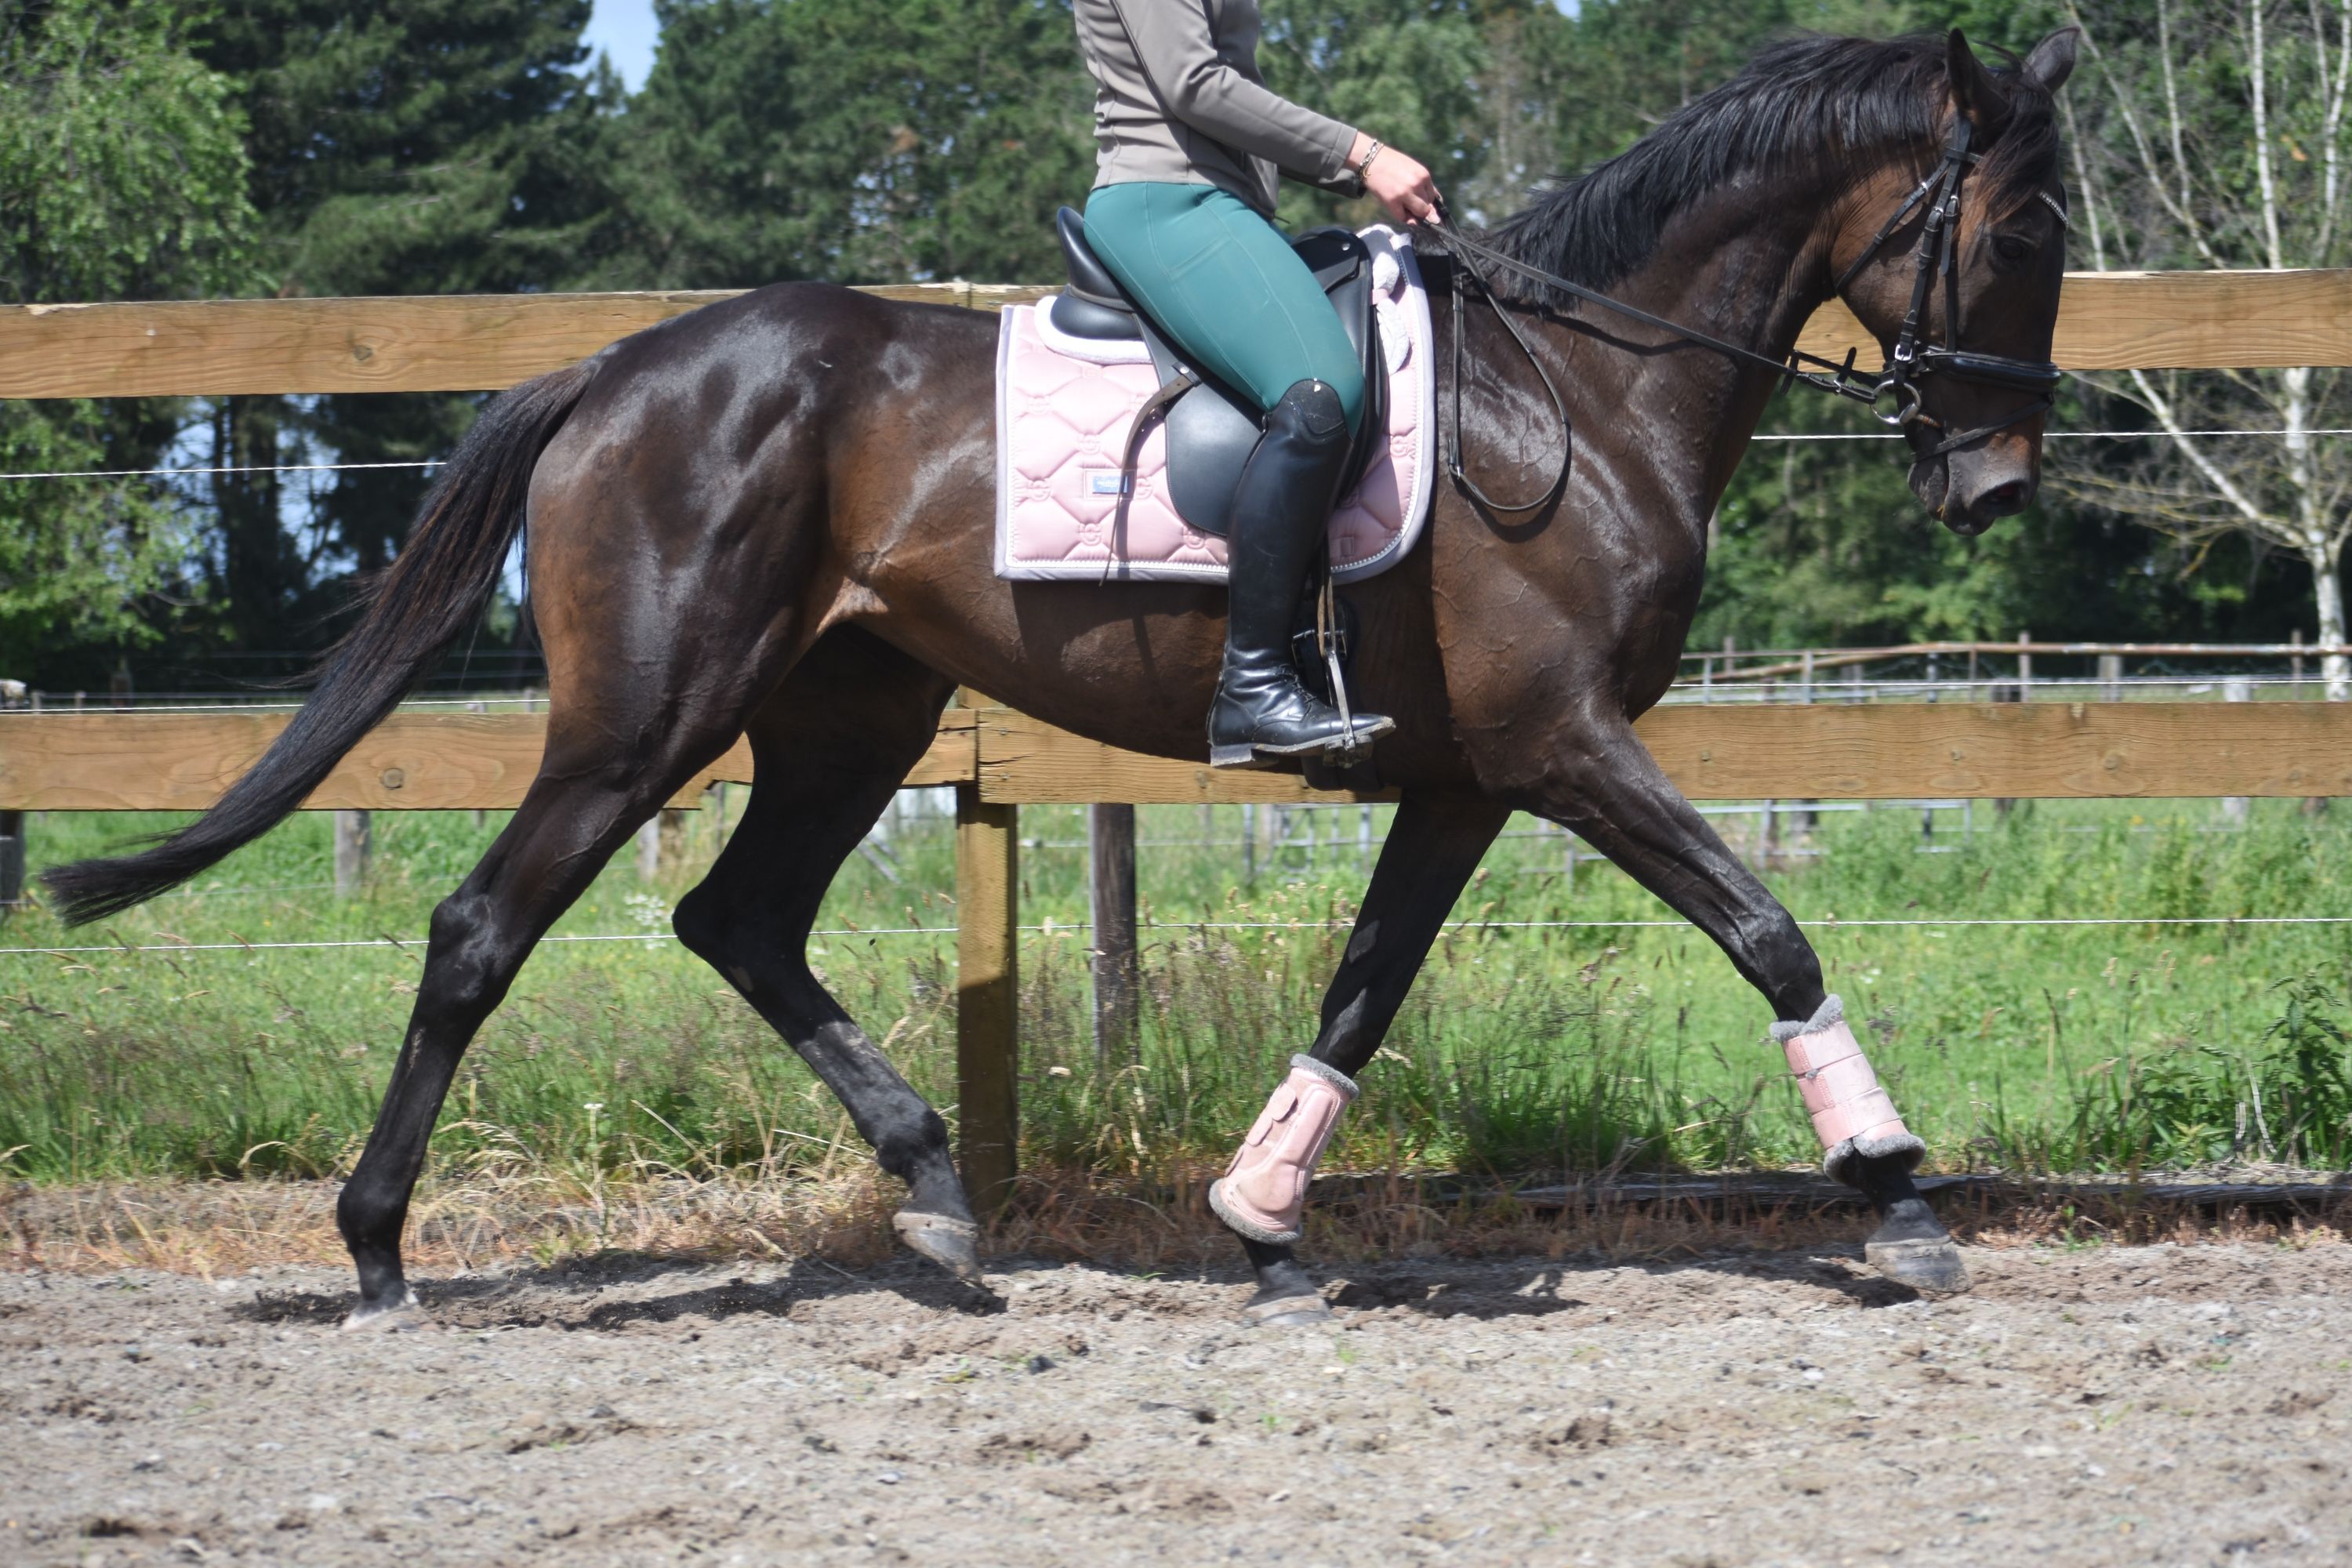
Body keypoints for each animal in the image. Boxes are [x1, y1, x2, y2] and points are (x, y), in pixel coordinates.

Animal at [47, 28, 2079, 1329]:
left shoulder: (1463, 774)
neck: (1576, 384)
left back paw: (940, 1196)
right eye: (2020, 234)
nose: (1994, 485)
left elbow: (1361, 990)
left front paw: (1261, 1222)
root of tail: (619, 368)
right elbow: (1770, 929)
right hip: (643, 718)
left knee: (742, 921)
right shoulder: (1561, 744)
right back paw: (381, 1250)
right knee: (486, 927)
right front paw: (1898, 1191)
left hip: (845, 711)